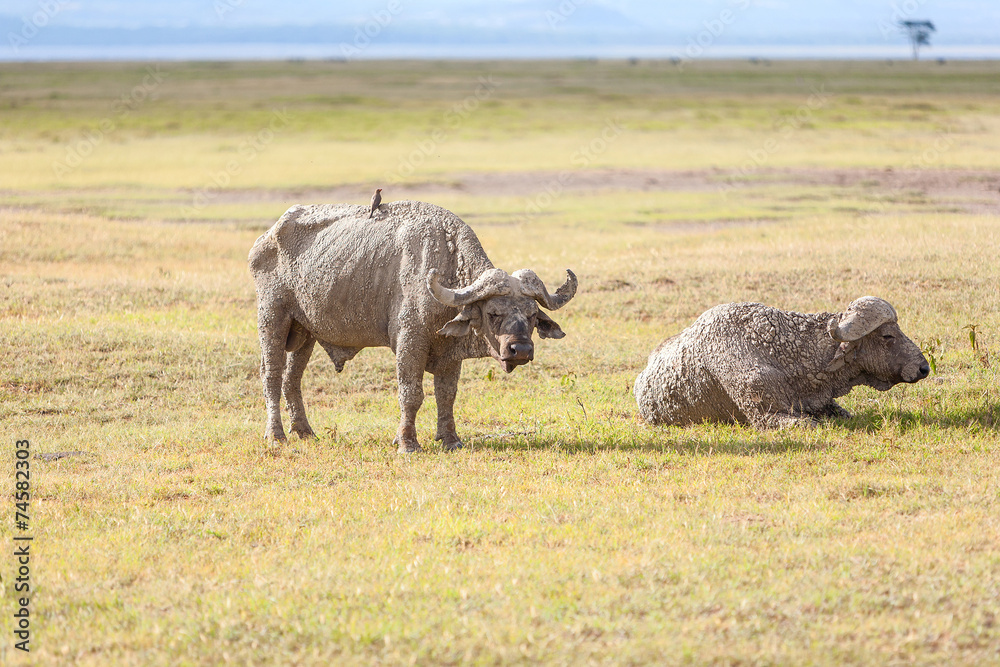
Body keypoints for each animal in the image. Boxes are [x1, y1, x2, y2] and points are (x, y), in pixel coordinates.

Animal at [249, 200, 577, 452]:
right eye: (493, 313)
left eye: (532, 315)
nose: (520, 349)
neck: (446, 269)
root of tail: (267, 238)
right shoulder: (409, 342)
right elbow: (412, 394)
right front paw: (407, 443)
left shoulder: (450, 352)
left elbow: (447, 394)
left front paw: (450, 440)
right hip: (272, 318)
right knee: (271, 376)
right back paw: (276, 435)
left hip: (305, 332)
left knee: (292, 379)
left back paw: (304, 430)